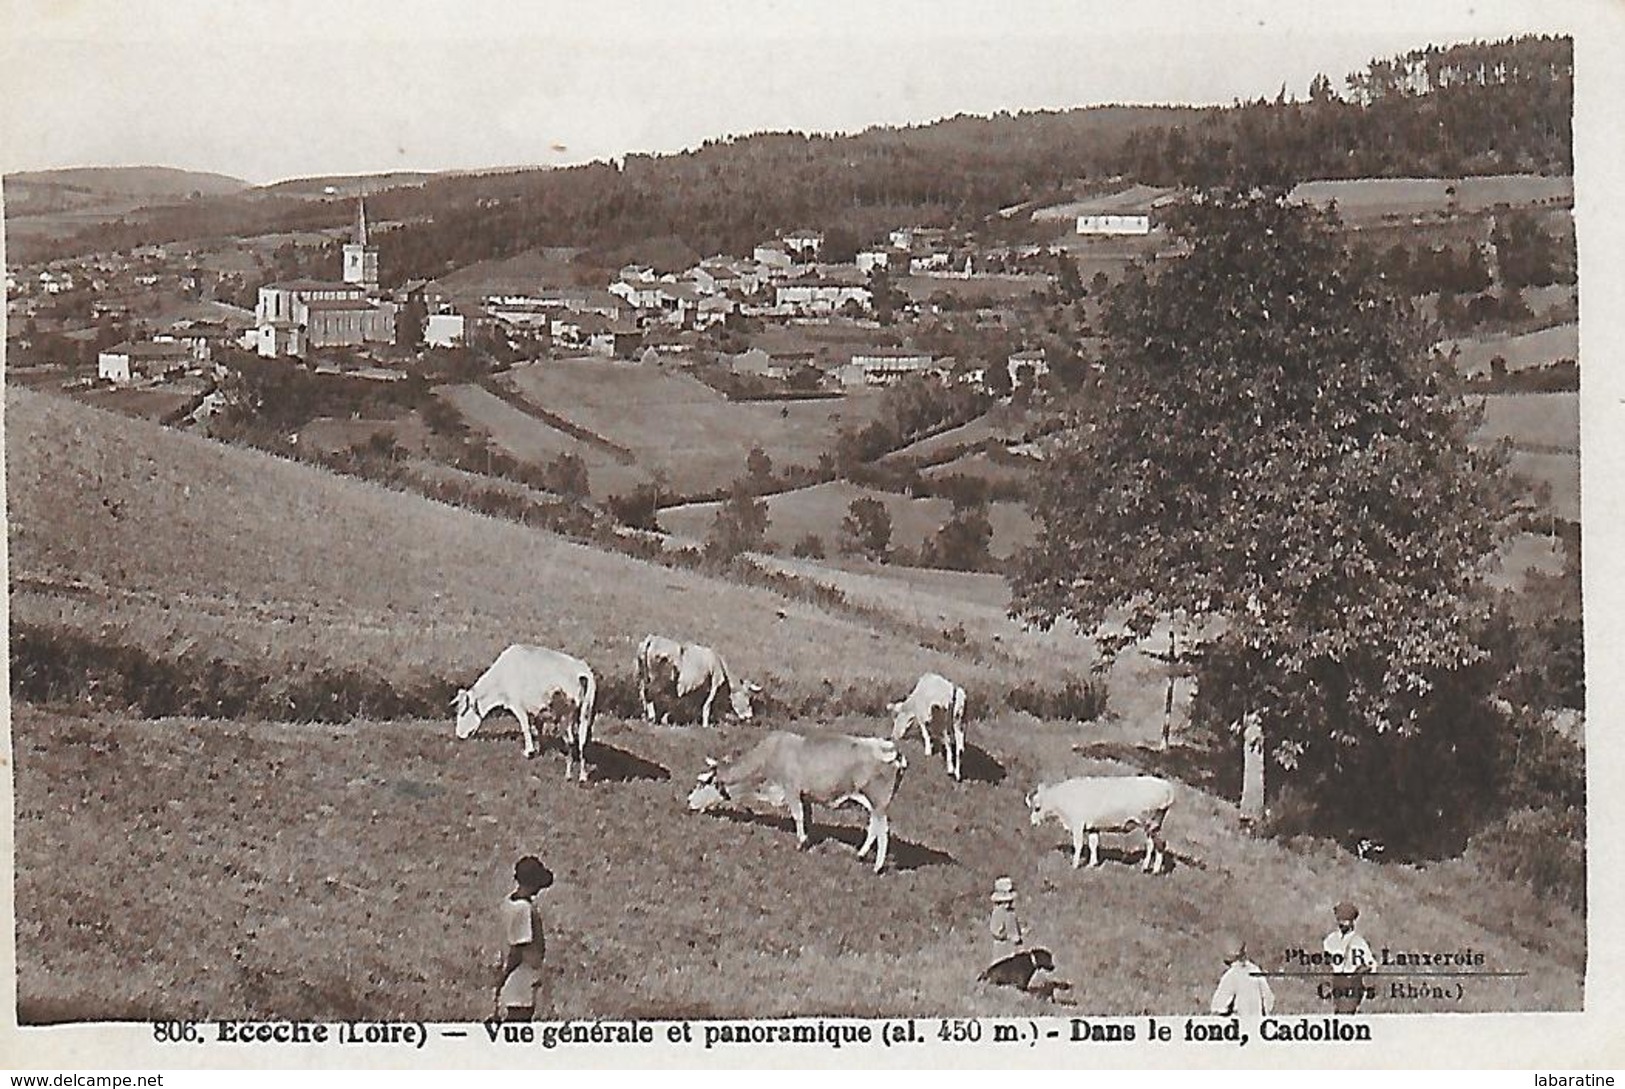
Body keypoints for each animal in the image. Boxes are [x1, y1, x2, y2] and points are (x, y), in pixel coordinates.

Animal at [458, 643, 598, 780]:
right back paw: (582, 776)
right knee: (582, 741)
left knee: (572, 741)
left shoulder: (518, 705)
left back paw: (569, 774)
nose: (459, 735)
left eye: (462, 713)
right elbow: (538, 728)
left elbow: (526, 727)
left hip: (567, 716)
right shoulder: (537, 710)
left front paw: (529, 751)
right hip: (586, 712)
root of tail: (582, 672)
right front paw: (539, 749)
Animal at [685, 734, 910, 877]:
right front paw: (807, 839)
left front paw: (800, 842)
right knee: (874, 827)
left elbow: (797, 815)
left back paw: (877, 866)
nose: (688, 801)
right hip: (872, 803)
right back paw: (861, 854)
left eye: (702, 783)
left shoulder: (791, 789)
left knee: (882, 830)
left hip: (879, 801)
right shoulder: (804, 795)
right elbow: (806, 816)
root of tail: (893, 749)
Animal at [1020, 776, 1176, 877]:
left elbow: (1078, 845)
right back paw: (1145, 867)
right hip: (1152, 825)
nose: (1033, 822)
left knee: (1161, 844)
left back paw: (1155, 871)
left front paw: (1075, 864)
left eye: (1037, 808)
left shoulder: (1078, 824)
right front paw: (1092, 864)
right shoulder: (1092, 827)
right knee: (1150, 844)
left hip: (1150, 822)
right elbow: (1093, 844)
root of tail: (1167, 788)